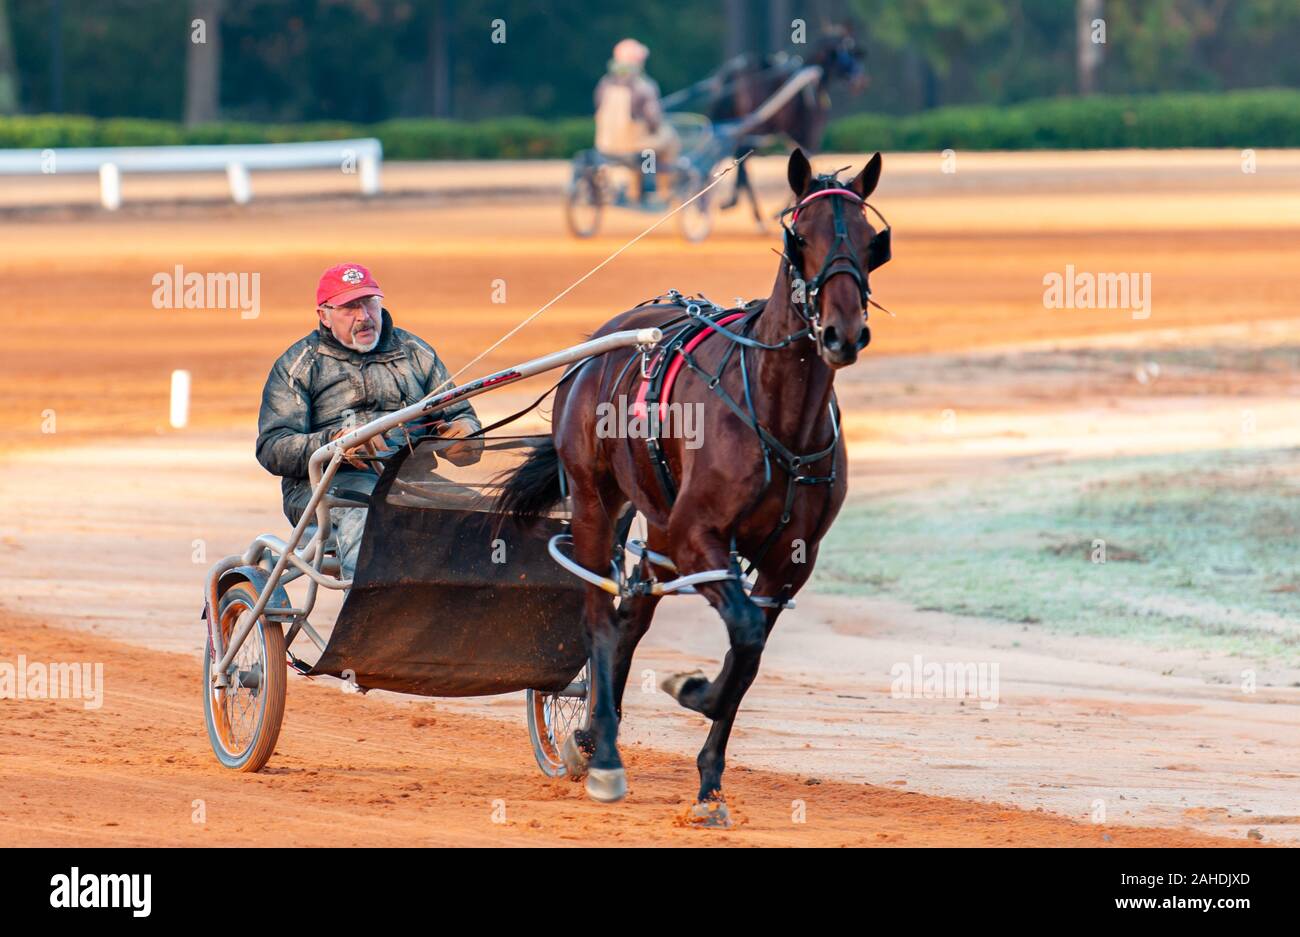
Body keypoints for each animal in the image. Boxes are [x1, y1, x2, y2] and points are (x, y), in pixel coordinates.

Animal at [493, 144, 883, 821]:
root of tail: (601, 341)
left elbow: (748, 655)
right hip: (597, 501)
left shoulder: (789, 562)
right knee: (601, 616)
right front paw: (692, 688)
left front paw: (708, 784)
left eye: (870, 240)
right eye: (799, 237)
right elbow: (743, 634)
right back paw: (603, 756)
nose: (841, 332)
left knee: (632, 614)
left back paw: (592, 735)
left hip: (657, 525)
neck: (778, 413)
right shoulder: (700, 536)